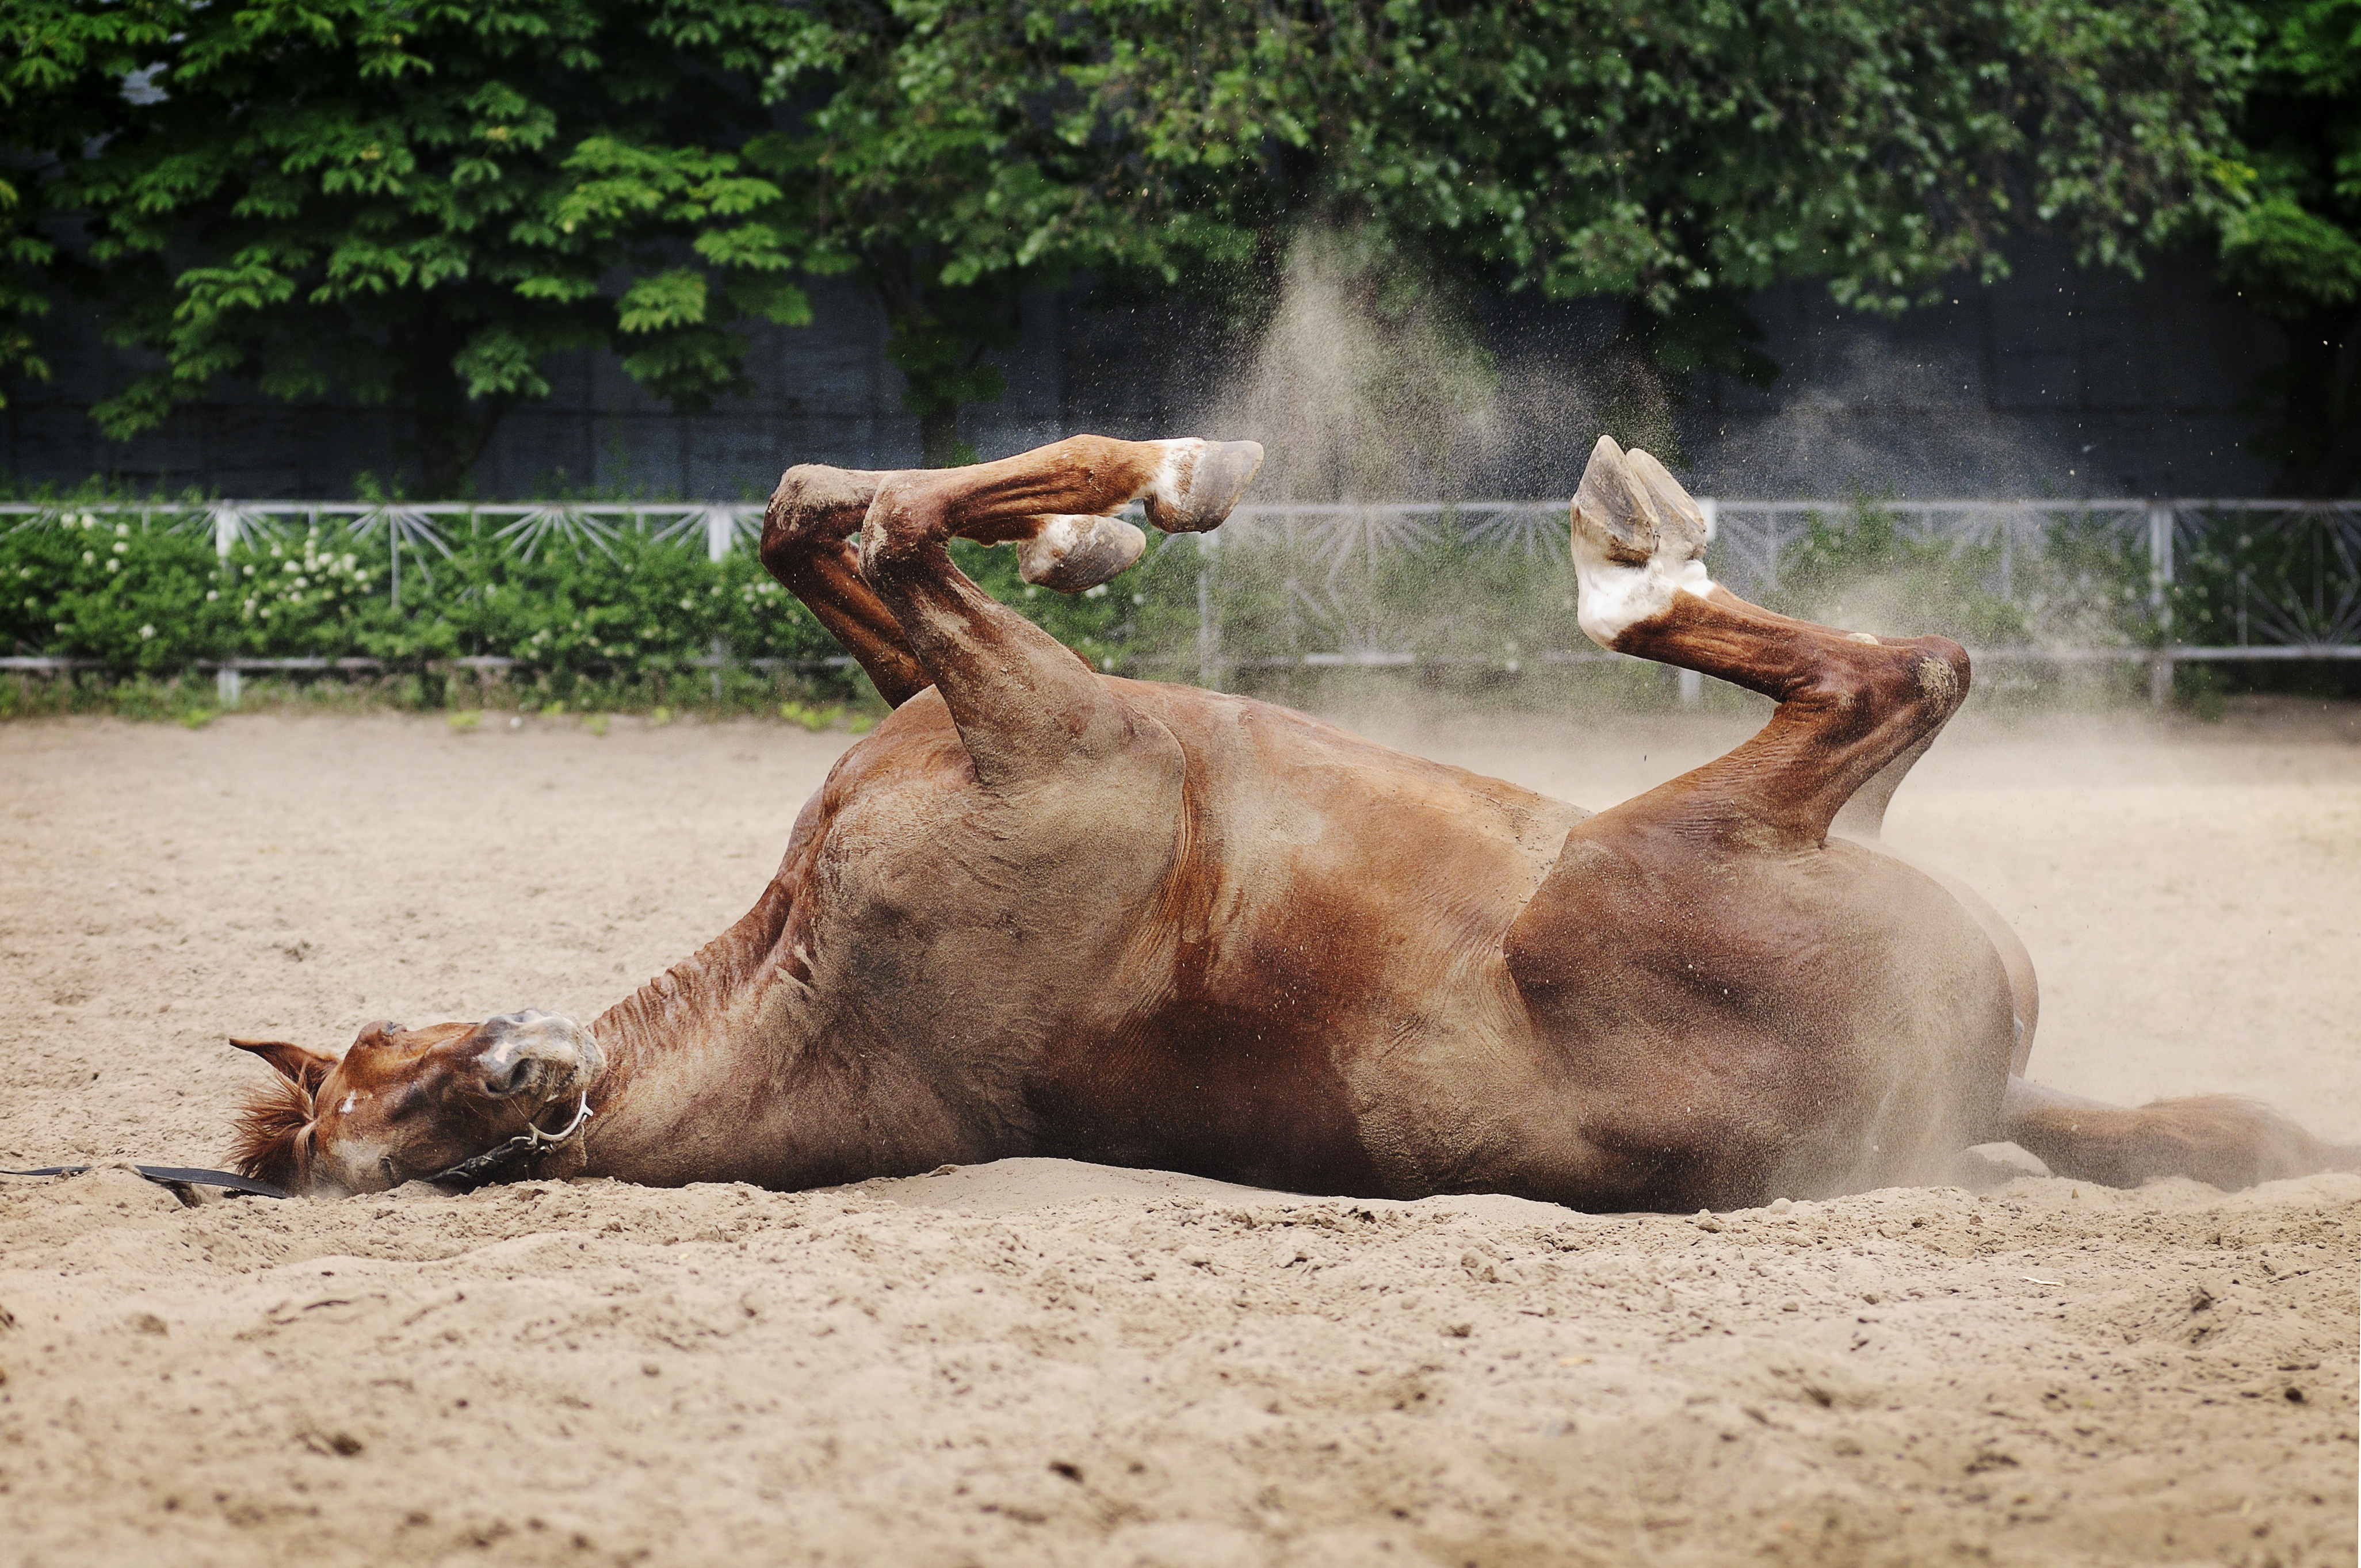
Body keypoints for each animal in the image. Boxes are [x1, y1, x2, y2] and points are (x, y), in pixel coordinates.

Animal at [226, 434, 2358, 1204]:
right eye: (387, 1140)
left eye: (386, 1048)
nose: (528, 1066)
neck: (815, 980)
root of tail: (1960, 1091)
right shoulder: (1052, 725)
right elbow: (887, 525)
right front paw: (1163, 479)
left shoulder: (975, 699)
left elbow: (819, 520)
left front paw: (1099, 518)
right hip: (1639, 867)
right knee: (1901, 672)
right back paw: (1629, 560)